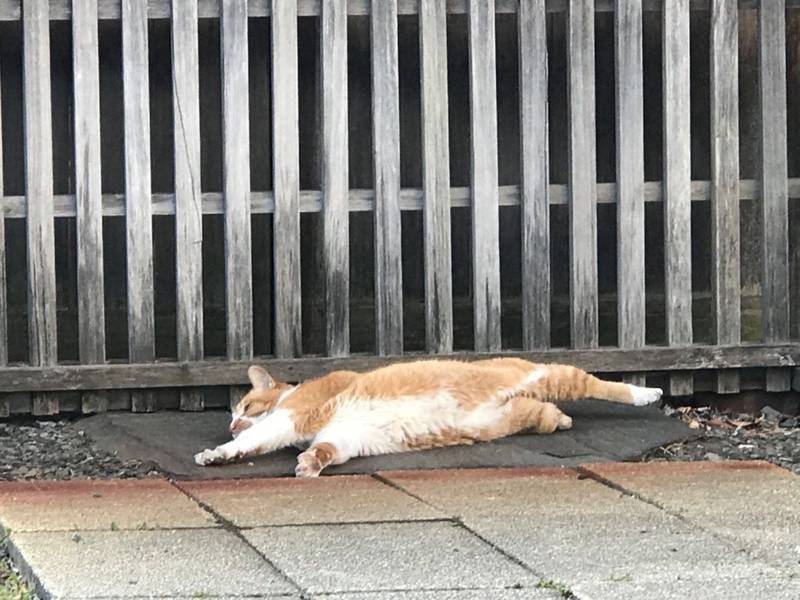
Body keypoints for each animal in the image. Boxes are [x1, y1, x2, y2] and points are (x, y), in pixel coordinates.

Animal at [195, 356, 664, 478]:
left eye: (246, 407)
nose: (232, 422)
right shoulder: (347, 435)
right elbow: (329, 449)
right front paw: (311, 463)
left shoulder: (295, 414)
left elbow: (254, 441)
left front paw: (219, 452)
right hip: (518, 411)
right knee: (548, 413)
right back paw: (560, 421)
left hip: (550, 375)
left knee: (595, 382)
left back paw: (648, 393)